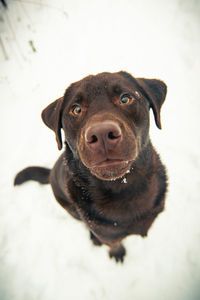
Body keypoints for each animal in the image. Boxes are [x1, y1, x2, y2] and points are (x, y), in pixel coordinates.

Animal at [13, 71, 167, 262]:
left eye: (125, 99)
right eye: (76, 109)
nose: (101, 134)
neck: (123, 188)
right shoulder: (107, 234)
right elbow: (113, 243)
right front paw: (117, 254)